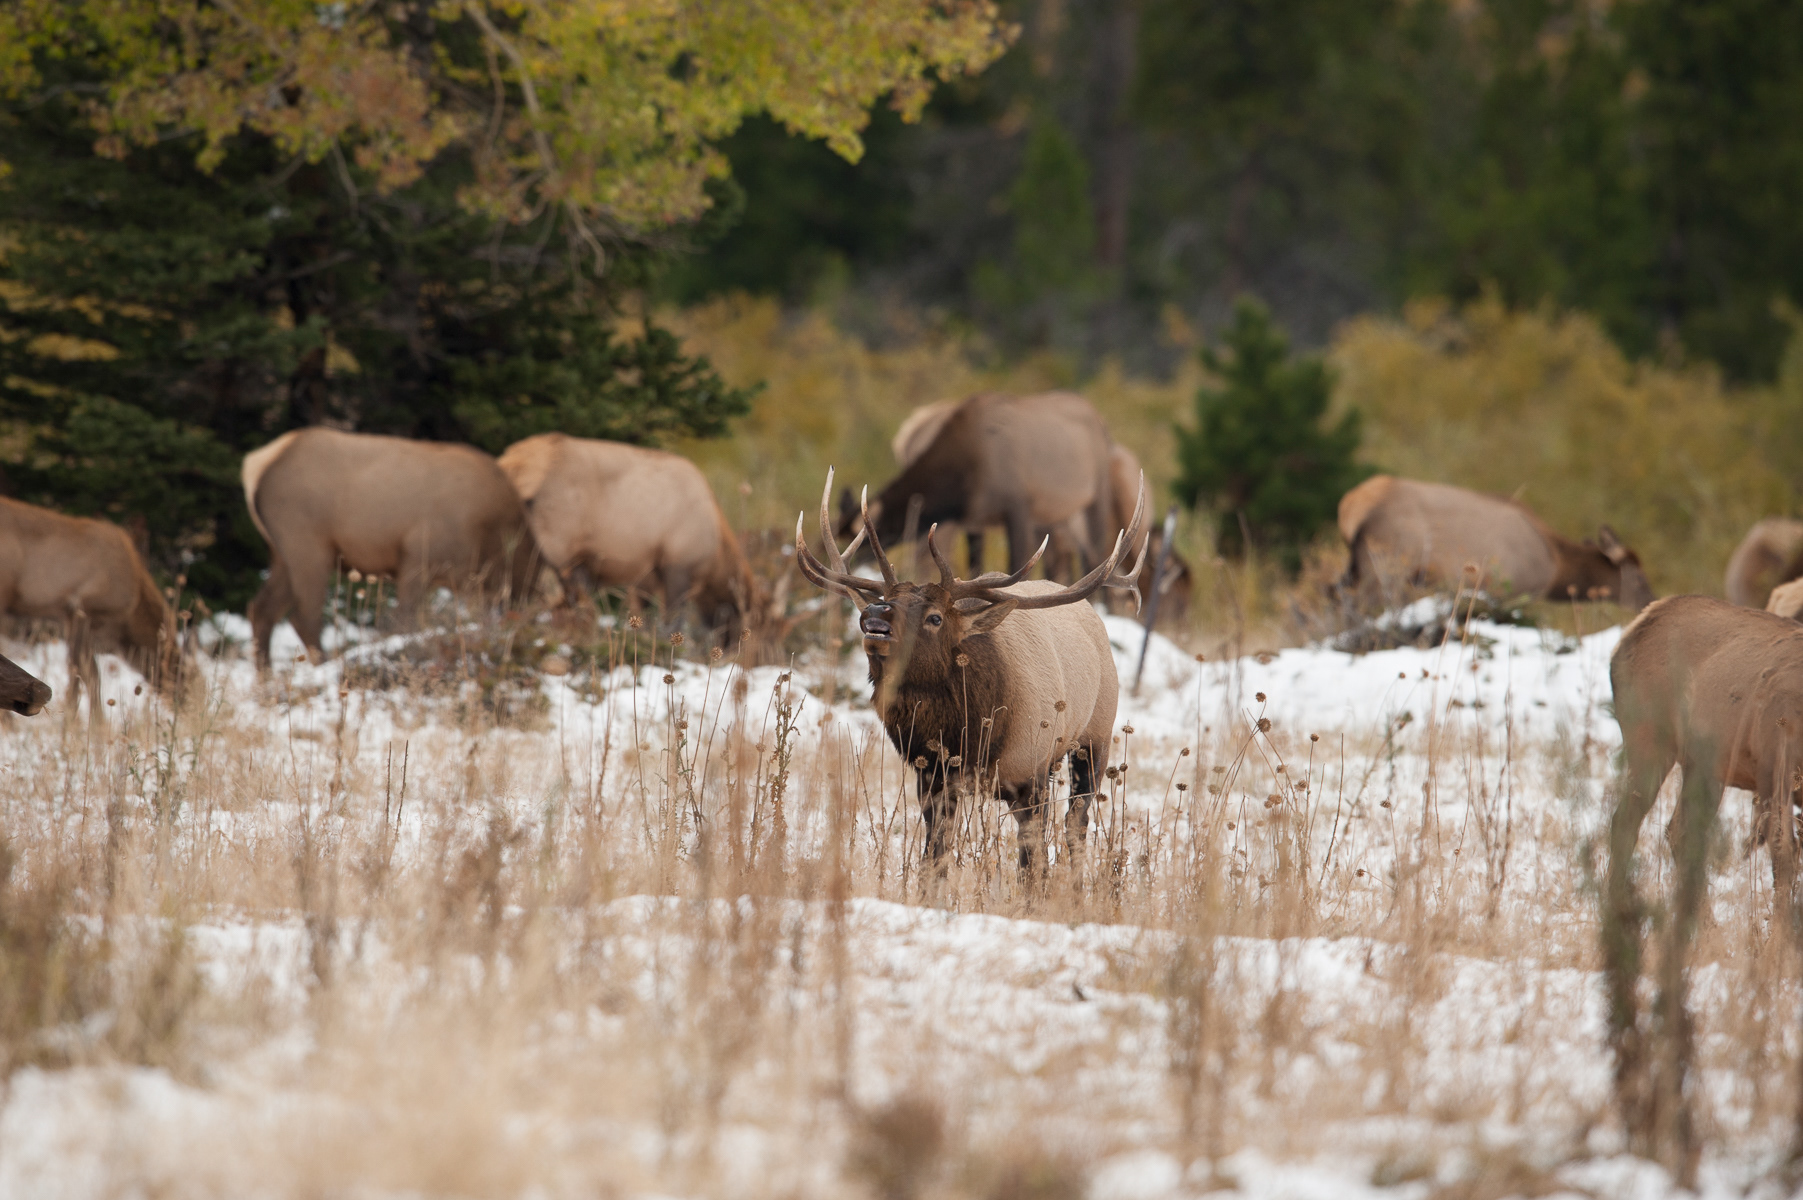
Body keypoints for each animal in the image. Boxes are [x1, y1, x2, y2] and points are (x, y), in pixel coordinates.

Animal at [797, 468, 1147, 875]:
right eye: (888, 600)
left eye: (935, 617)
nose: (874, 615)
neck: (973, 737)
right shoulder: (933, 778)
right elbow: (934, 858)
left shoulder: (1031, 773)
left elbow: (1032, 865)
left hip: (1095, 737)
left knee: (1076, 820)